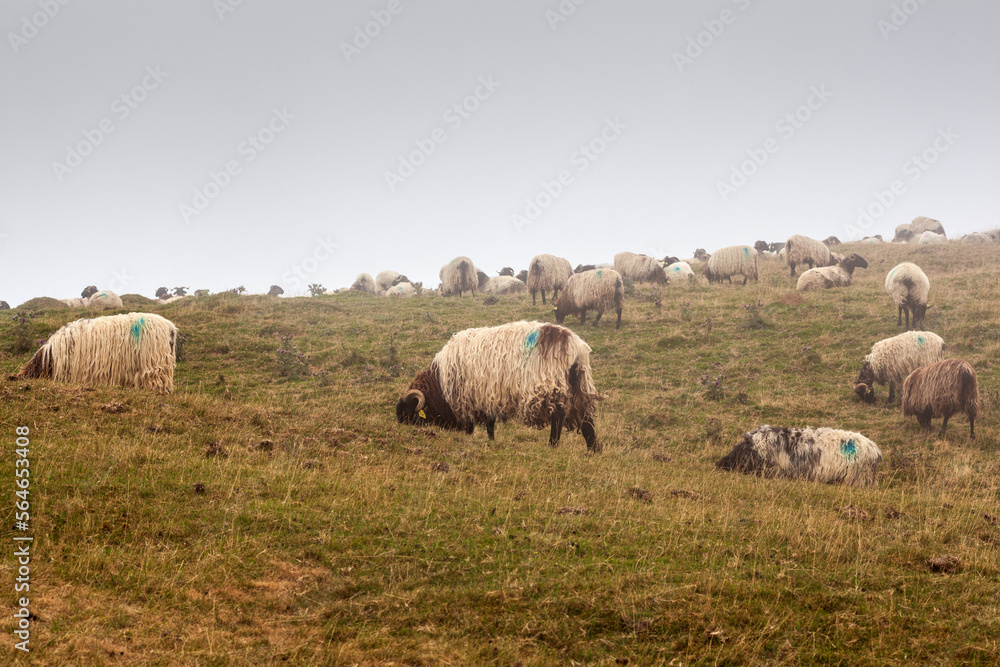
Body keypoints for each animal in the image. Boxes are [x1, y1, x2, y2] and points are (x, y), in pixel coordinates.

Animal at [396, 321, 601, 451]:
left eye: (408, 415)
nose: (404, 430)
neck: (440, 383)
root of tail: (576, 346)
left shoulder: (474, 395)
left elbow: (481, 424)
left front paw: (480, 439)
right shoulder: (486, 395)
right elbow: (489, 422)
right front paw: (490, 441)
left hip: (550, 384)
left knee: (558, 415)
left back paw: (553, 446)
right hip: (578, 384)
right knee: (586, 417)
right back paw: (593, 449)